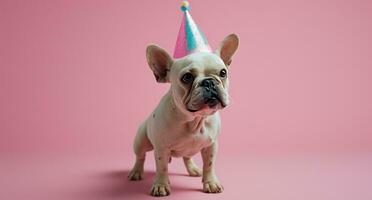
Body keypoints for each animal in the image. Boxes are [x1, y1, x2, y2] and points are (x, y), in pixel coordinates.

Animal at [128, 33, 238, 196]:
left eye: (223, 73)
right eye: (187, 77)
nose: (209, 82)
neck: (194, 120)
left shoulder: (211, 146)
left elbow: (209, 165)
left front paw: (210, 182)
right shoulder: (161, 149)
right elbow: (162, 168)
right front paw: (161, 185)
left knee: (187, 157)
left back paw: (193, 169)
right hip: (141, 141)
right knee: (140, 156)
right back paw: (136, 172)